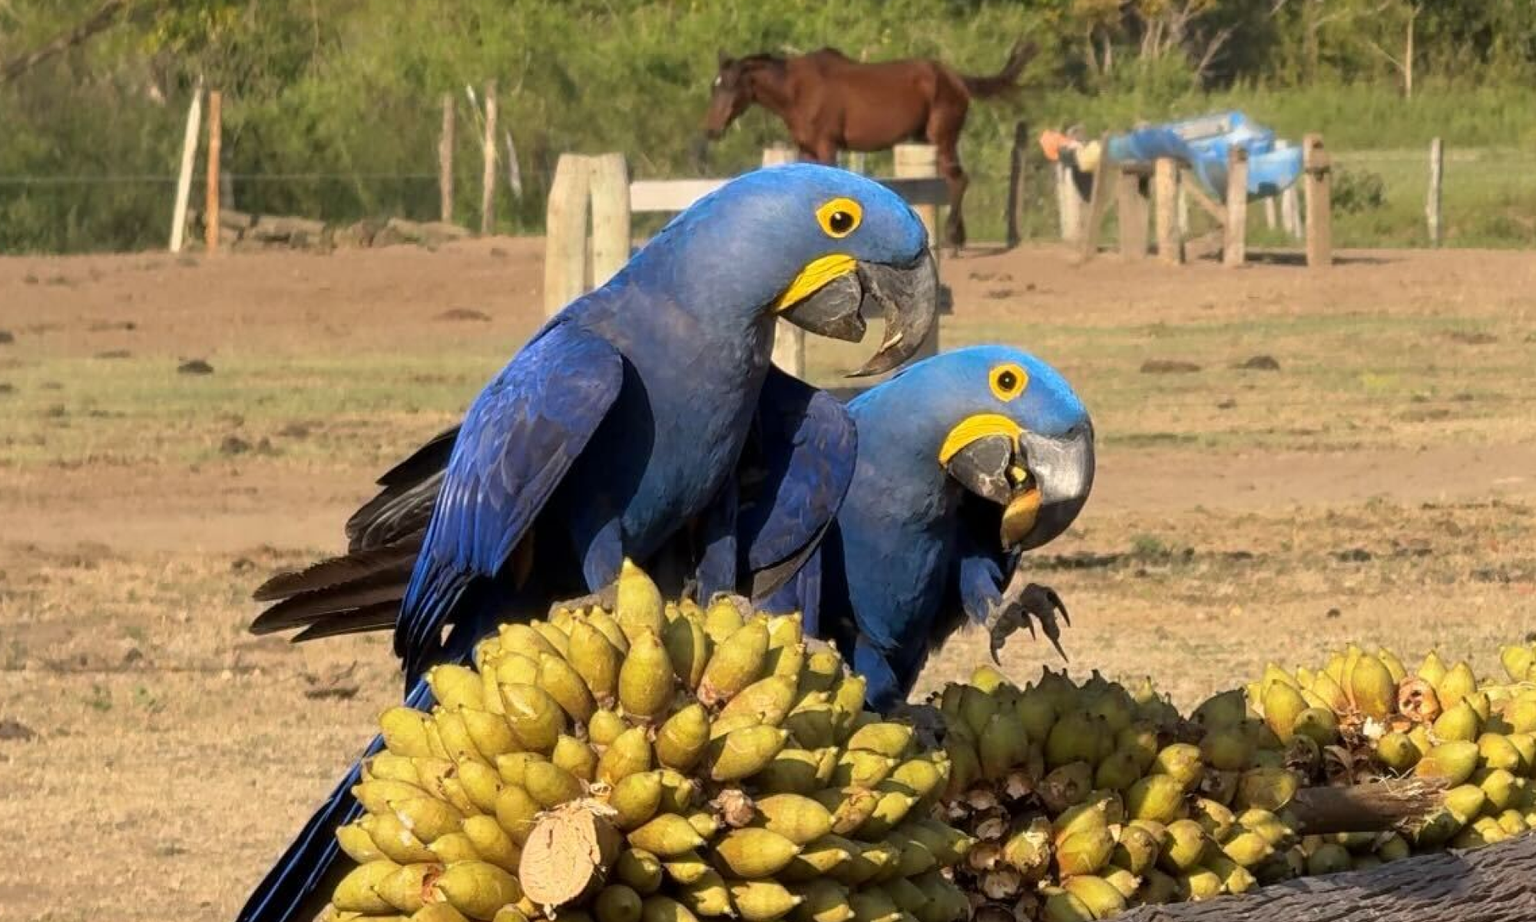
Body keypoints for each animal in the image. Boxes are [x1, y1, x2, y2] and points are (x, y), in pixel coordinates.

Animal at [701, 41, 1036, 249]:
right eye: (714, 87)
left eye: (732, 86)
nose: (712, 130)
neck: (797, 91)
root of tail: (955, 78)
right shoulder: (807, 149)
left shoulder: (827, 146)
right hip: (923, 138)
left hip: (943, 137)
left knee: (957, 180)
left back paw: (954, 240)